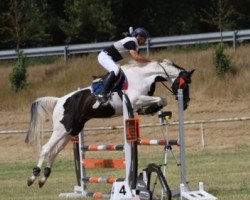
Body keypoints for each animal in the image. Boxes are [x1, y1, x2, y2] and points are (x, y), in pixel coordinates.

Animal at [24, 59, 194, 188]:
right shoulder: (135, 99)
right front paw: (150, 108)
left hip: (71, 131)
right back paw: (33, 177)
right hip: (61, 129)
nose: (185, 104)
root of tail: (59, 100)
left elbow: (161, 100)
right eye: (183, 85)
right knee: (46, 149)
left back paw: (43, 179)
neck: (143, 76)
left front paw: (150, 109)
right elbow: (161, 99)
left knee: (54, 151)